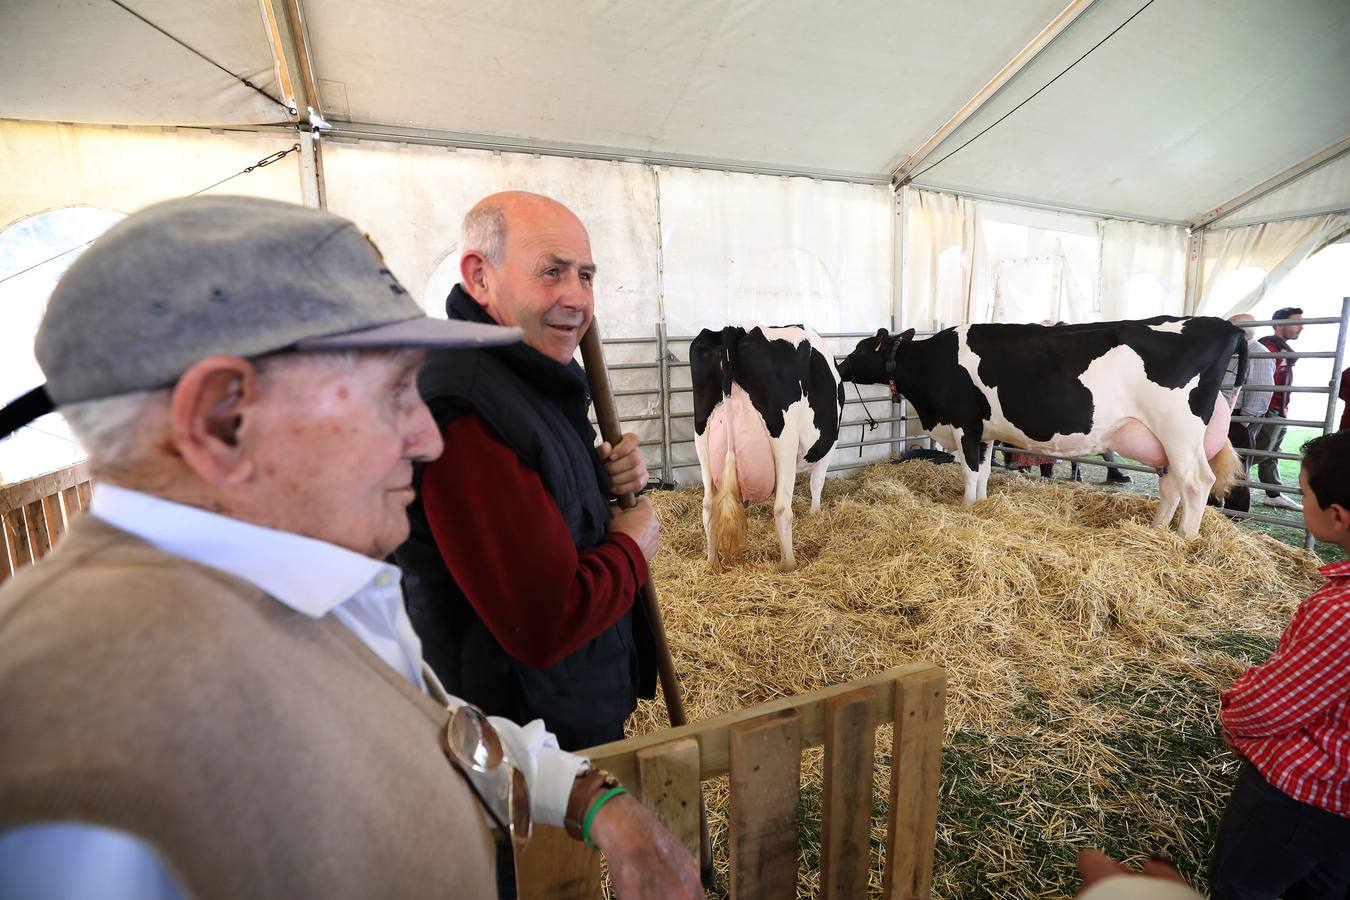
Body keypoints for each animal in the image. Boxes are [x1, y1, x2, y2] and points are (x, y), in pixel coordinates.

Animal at [691, 323, 837, 569]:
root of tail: (735, 328)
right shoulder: (829, 448)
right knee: (782, 508)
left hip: (702, 437)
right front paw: (815, 514)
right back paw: (789, 565)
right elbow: (816, 484)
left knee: (708, 506)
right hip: (784, 439)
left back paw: (713, 563)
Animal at [837, 318, 1247, 534]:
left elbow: (970, 473)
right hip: (1162, 441)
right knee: (1172, 484)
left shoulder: (965, 425)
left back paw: (1183, 539)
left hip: (1179, 431)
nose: (839, 366)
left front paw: (967, 507)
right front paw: (982, 505)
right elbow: (984, 472)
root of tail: (1225, 327)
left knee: (1196, 483)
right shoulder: (985, 431)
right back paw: (1157, 530)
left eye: (858, 349)